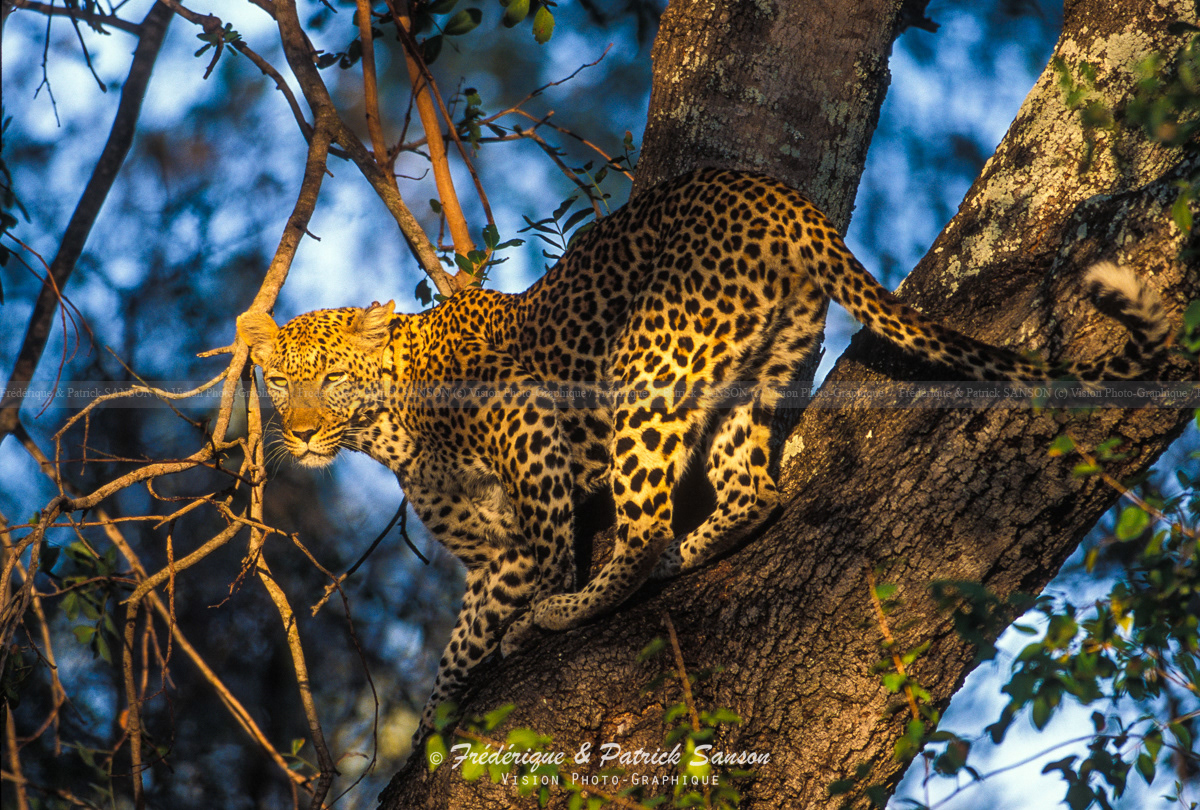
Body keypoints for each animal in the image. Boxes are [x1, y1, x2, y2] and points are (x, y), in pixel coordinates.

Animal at [237, 168, 1170, 738]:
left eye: (332, 378)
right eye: (278, 382)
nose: (304, 432)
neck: (391, 426)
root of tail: (780, 197)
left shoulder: (534, 456)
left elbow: (513, 589)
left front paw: (491, 657)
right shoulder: (487, 543)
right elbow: (471, 615)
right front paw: (440, 706)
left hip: (646, 368)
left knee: (645, 522)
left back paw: (582, 605)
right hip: (757, 367)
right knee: (754, 492)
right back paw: (689, 553)